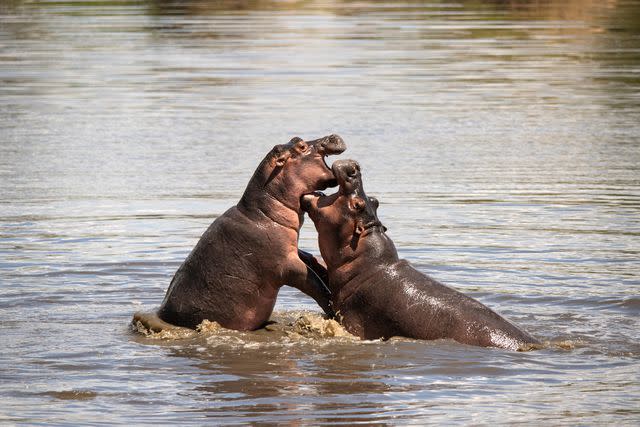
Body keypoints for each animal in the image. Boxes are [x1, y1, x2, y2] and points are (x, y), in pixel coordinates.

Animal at [134, 134, 344, 332]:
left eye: (295, 139)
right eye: (301, 146)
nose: (333, 136)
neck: (263, 213)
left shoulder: (293, 250)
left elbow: (312, 261)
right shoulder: (286, 265)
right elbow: (314, 283)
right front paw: (333, 309)